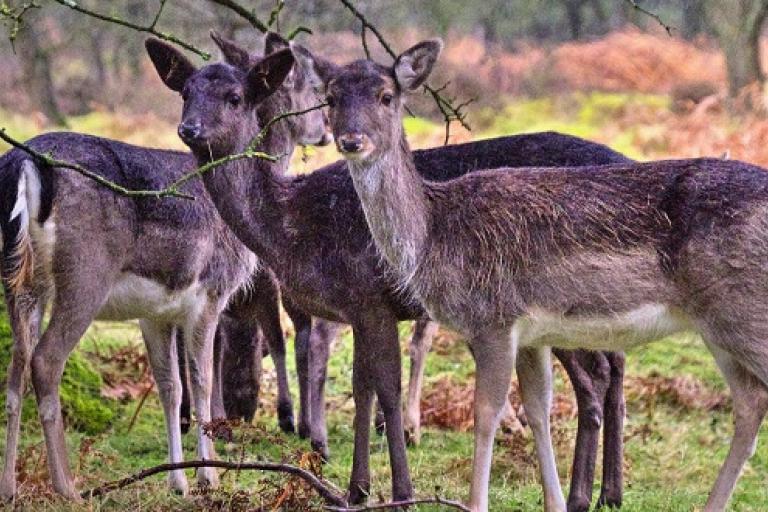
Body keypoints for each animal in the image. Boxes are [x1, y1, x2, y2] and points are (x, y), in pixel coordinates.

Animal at [0, 36, 329, 500]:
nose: (325, 128)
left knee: (15, 368)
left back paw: (9, 487)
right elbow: (203, 378)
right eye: (186, 93)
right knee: (45, 360)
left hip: (20, 278)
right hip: (85, 273)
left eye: (233, 96)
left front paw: (179, 481)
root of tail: (25, 164)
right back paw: (68, 488)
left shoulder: (153, 311)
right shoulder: (211, 290)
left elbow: (170, 387)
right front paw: (209, 475)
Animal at [150, 39, 632, 510]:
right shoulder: (355, 307)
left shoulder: (370, 297)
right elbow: (361, 386)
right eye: (185, 92)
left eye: (234, 97)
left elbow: (385, 387)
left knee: (596, 376)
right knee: (609, 368)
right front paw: (356, 489)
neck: (294, 226)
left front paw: (401, 492)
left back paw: (581, 495)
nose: (189, 130)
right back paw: (607, 491)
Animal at [323, 39, 768, 512]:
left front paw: (476, 502)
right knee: (750, 402)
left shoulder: (493, 318)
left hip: (742, 310)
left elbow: (486, 412)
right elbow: (539, 407)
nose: (351, 140)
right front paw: (554, 500)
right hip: (719, 323)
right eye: (330, 98)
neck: (433, 236)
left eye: (386, 96)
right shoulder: (531, 334)